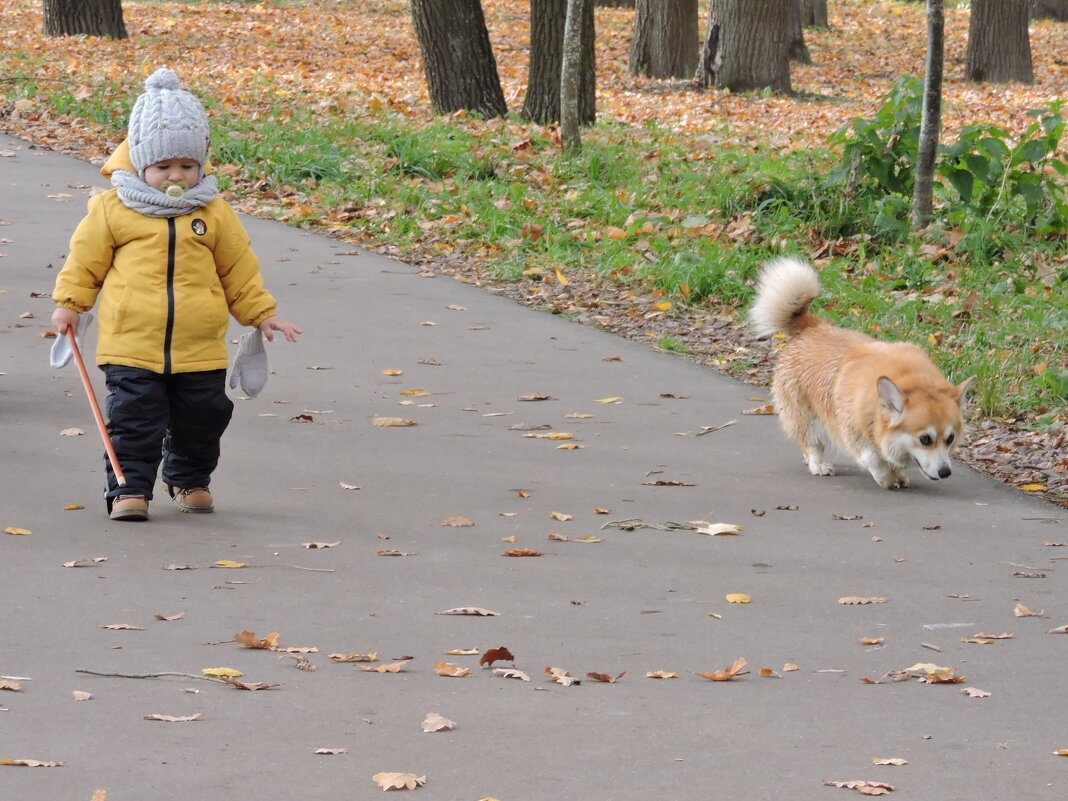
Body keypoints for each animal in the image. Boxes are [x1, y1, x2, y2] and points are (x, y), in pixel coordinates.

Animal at [747, 260, 974, 493]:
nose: (945, 472)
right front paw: (886, 478)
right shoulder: (852, 431)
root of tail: (812, 327)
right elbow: (874, 460)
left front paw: (899, 475)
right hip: (807, 416)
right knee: (813, 443)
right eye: (925, 439)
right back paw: (818, 464)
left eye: (950, 438)